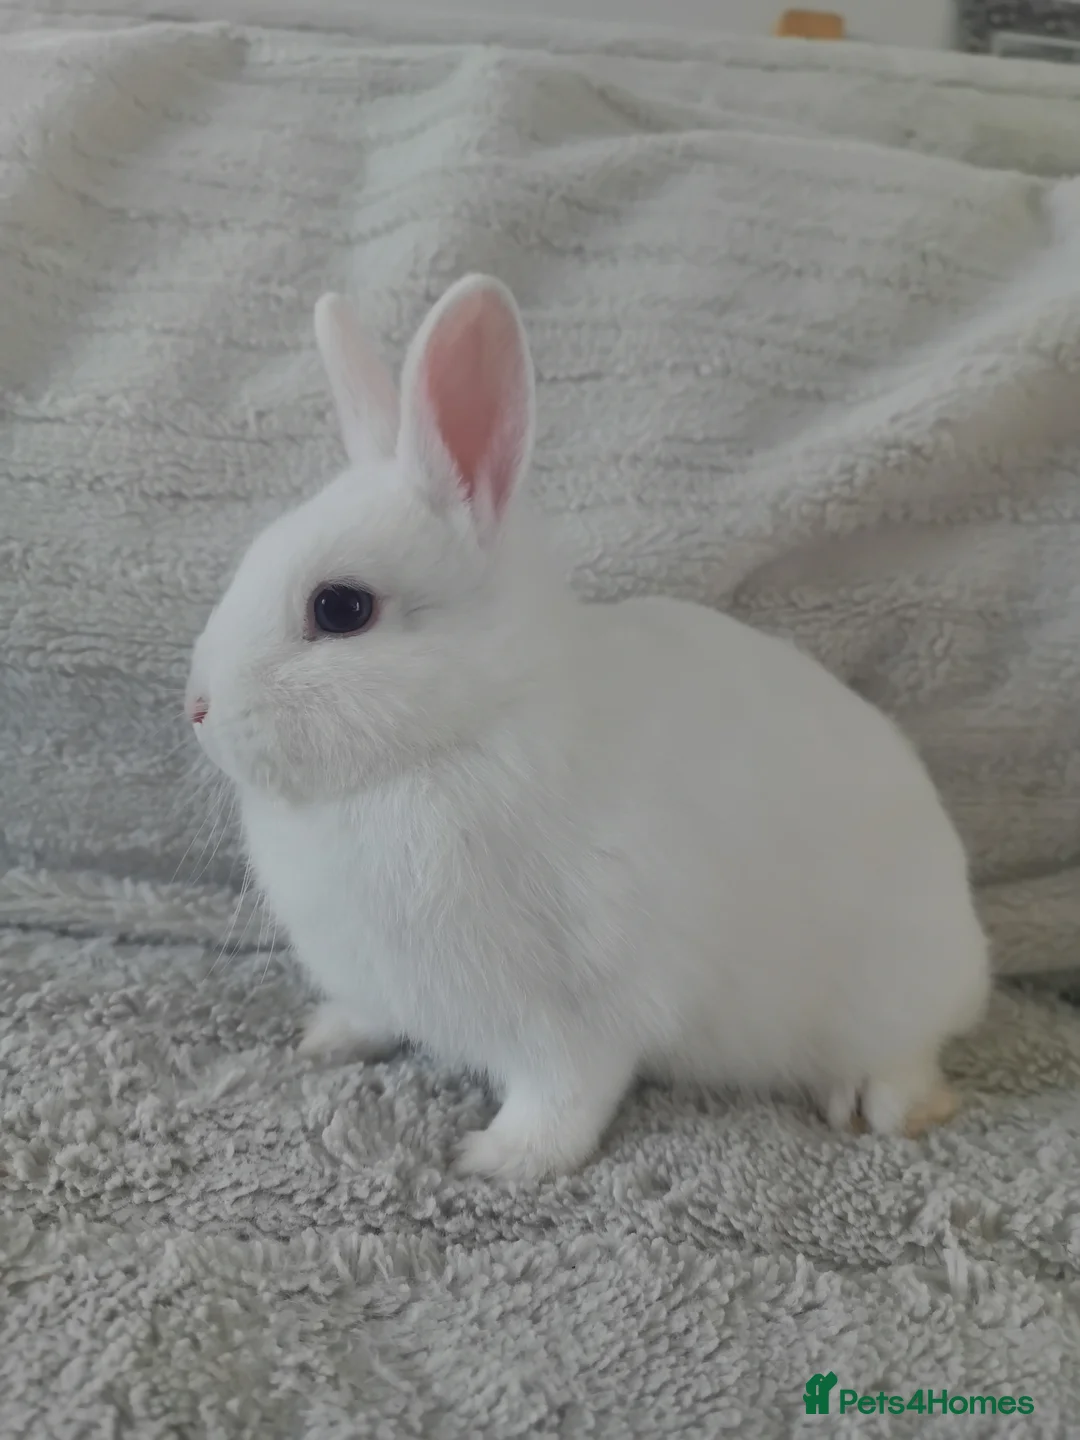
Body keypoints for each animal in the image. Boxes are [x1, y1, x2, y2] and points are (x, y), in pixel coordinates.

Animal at [187, 273, 991, 1183]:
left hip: (889, 991)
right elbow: (370, 1013)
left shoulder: (575, 1008)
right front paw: (324, 1039)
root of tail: (969, 956)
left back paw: (884, 1107)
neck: (459, 730)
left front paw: (498, 1158)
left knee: (909, 1054)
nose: (197, 707)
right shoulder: (383, 978)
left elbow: (565, 1094)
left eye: (341, 608)